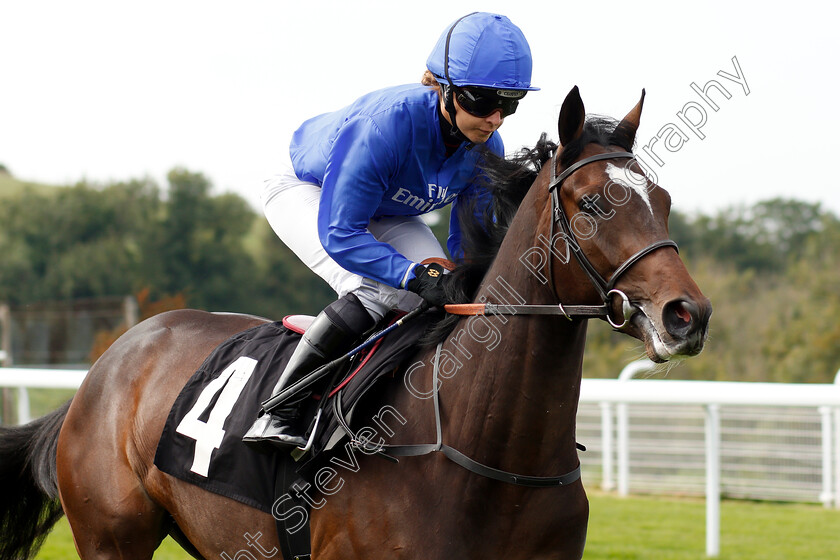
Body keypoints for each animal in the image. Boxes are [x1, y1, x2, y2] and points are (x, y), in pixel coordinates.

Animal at [0, 85, 708, 556]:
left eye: (664, 199)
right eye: (589, 204)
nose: (687, 314)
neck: (489, 458)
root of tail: (108, 364)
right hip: (111, 535)